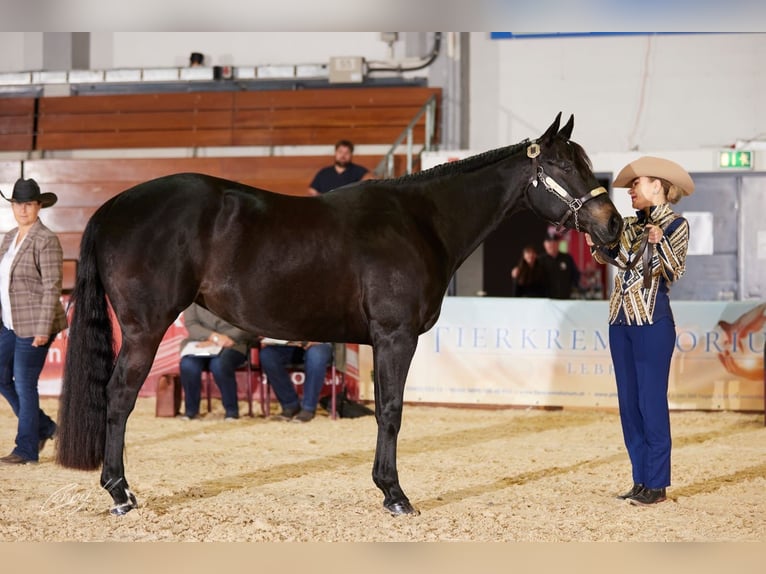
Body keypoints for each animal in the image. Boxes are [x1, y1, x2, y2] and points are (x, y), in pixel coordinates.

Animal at [56, 113, 623, 516]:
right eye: (564, 167)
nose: (614, 225)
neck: (420, 220)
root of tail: (112, 207)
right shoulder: (396, 337)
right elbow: (391, 411)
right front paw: (394, 495)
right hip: (144, 330)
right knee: (119, 397)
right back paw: (120, 493)